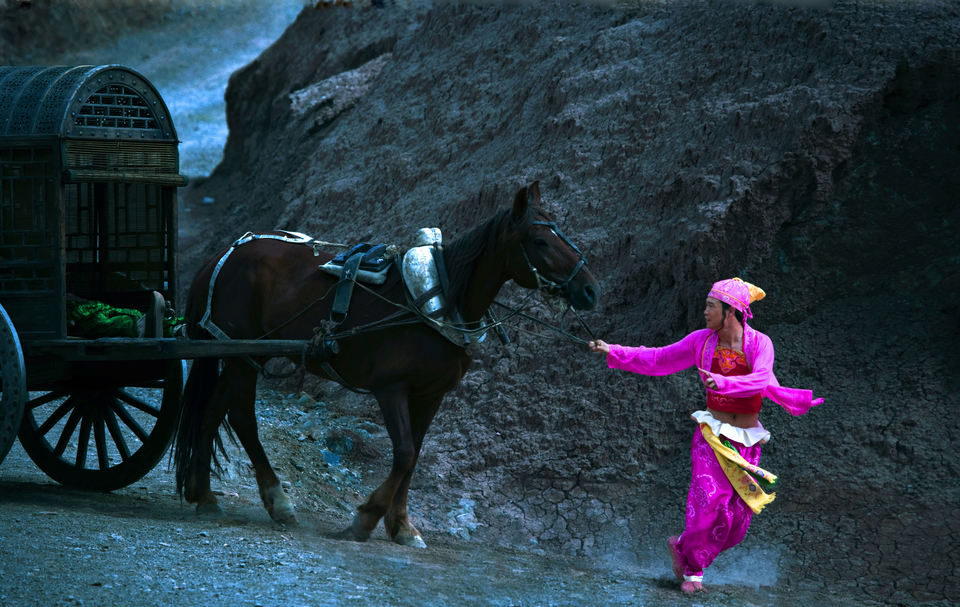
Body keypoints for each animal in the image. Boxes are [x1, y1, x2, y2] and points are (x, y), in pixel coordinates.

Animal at [169, 179, 596, 548]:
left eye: (562, 233)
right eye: (539, 240)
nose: (590, 289)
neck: (440, 300)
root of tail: (222, 255)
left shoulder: (431, 394)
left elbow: (414, 456)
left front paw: (402, 526)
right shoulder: (391, 388)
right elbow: (404, 453)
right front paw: (366, 518)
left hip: (243, 353)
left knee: (212, 410)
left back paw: (204, 494)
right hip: (242, 354)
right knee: (241, 417)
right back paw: (276, 499)